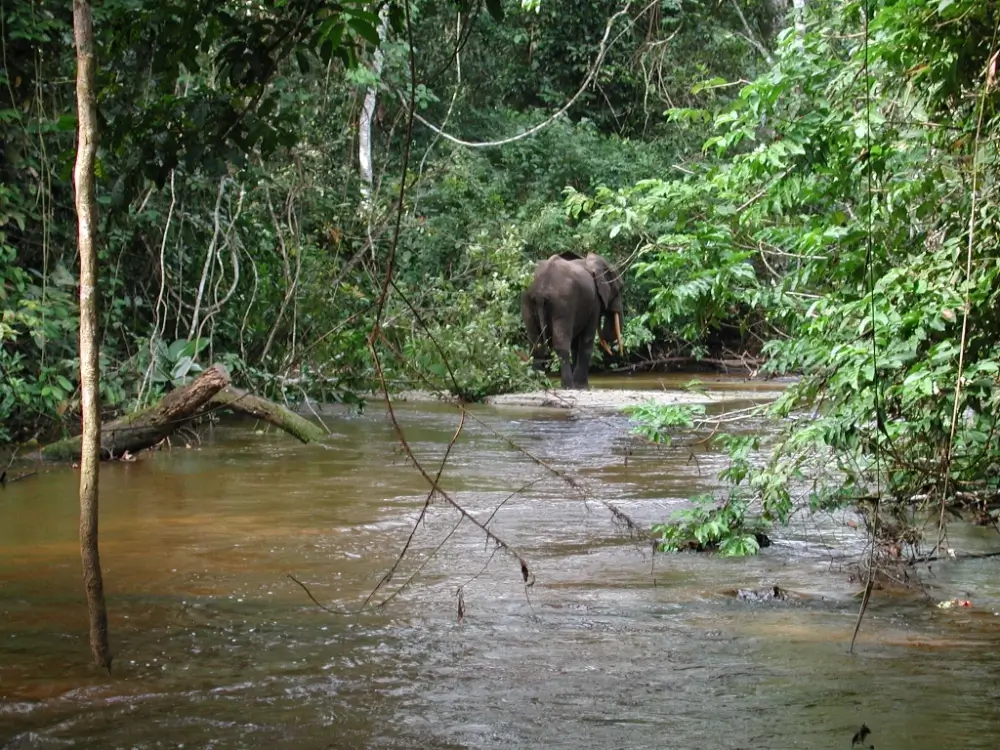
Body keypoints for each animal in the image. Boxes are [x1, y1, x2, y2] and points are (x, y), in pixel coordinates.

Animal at [521, 251, 625, 389]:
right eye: (619, 289)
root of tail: (540, 291)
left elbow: (576, 344)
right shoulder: (594, 302)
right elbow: (587, 340)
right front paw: (583, 386)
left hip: (527, 301)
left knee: (536, 344)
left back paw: (537, 384)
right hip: (563, 302)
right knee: (561, 344)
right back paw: (568, 386)